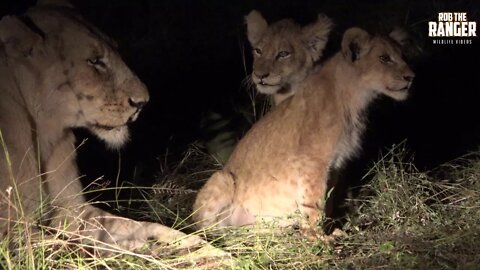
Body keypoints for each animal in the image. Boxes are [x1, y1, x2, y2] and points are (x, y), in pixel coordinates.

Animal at [193, 26, 414, 238]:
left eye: (403, 55)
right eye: (384, 58)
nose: (411, 77)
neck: (356, 100)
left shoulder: (335, 165)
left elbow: (329, 201)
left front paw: (332, 229)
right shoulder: (312, 162)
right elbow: (314, 202)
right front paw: (318, 237)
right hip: (223, 178)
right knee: (204, 228)